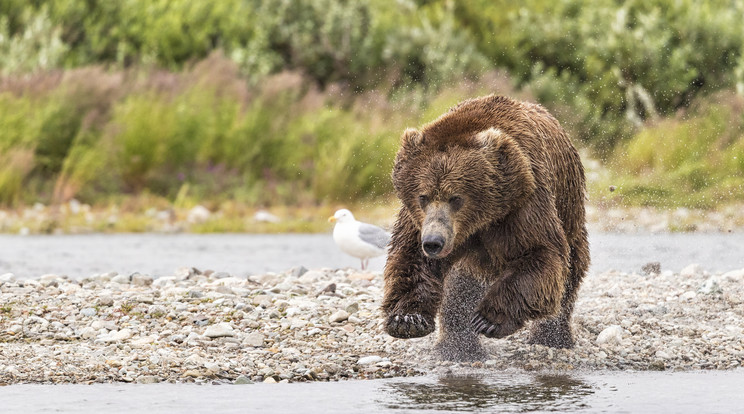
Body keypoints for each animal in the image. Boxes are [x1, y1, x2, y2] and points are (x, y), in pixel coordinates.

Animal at [384, 95, 588, 360]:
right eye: (423, 196)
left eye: (456, 198)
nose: (433, 242)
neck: (480, 220)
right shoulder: (418, 220)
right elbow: (412, 257)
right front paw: (407, 319)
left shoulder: (523, 201)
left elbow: (538, 252)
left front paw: (488, 320)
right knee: (460, 285)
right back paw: (457, 347)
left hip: (570, 213)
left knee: (570, 273)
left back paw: (552, 337)